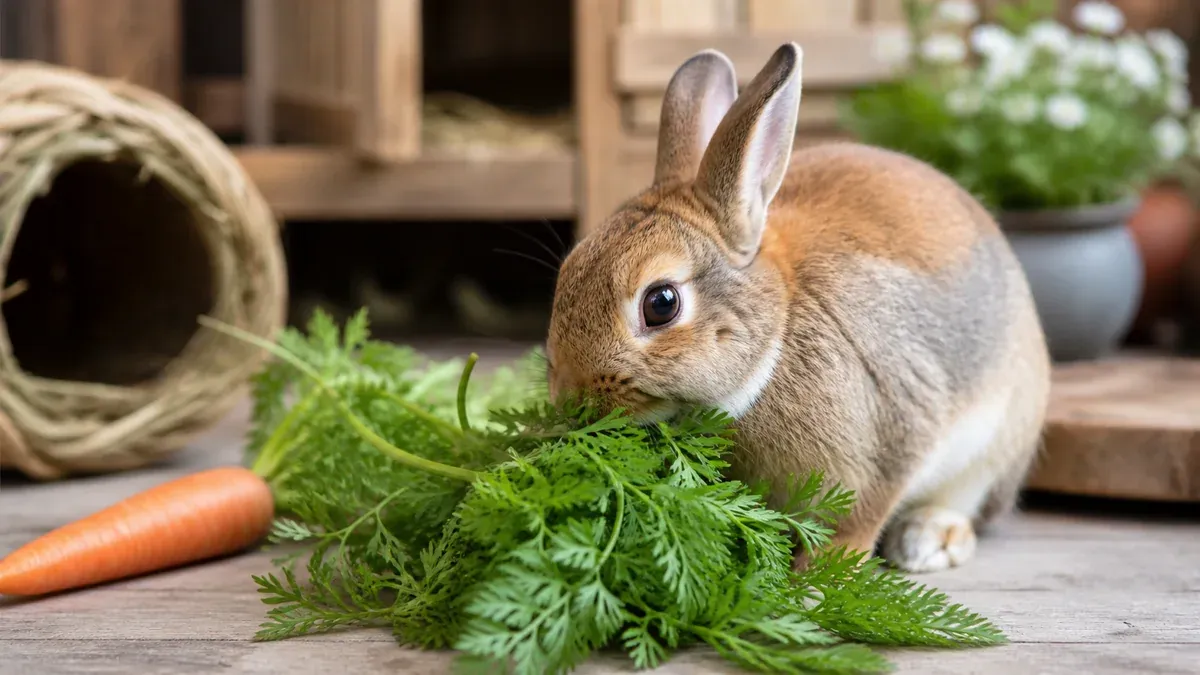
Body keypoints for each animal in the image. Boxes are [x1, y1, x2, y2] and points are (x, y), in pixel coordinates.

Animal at [544, 42, 1051, 574]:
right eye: (568, 271)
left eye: (661, 304)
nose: (571, 398)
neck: (778, 328)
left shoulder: (889, 439)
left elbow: (860, 518)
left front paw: (821, 572)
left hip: (994, 447)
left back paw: (927, 540)